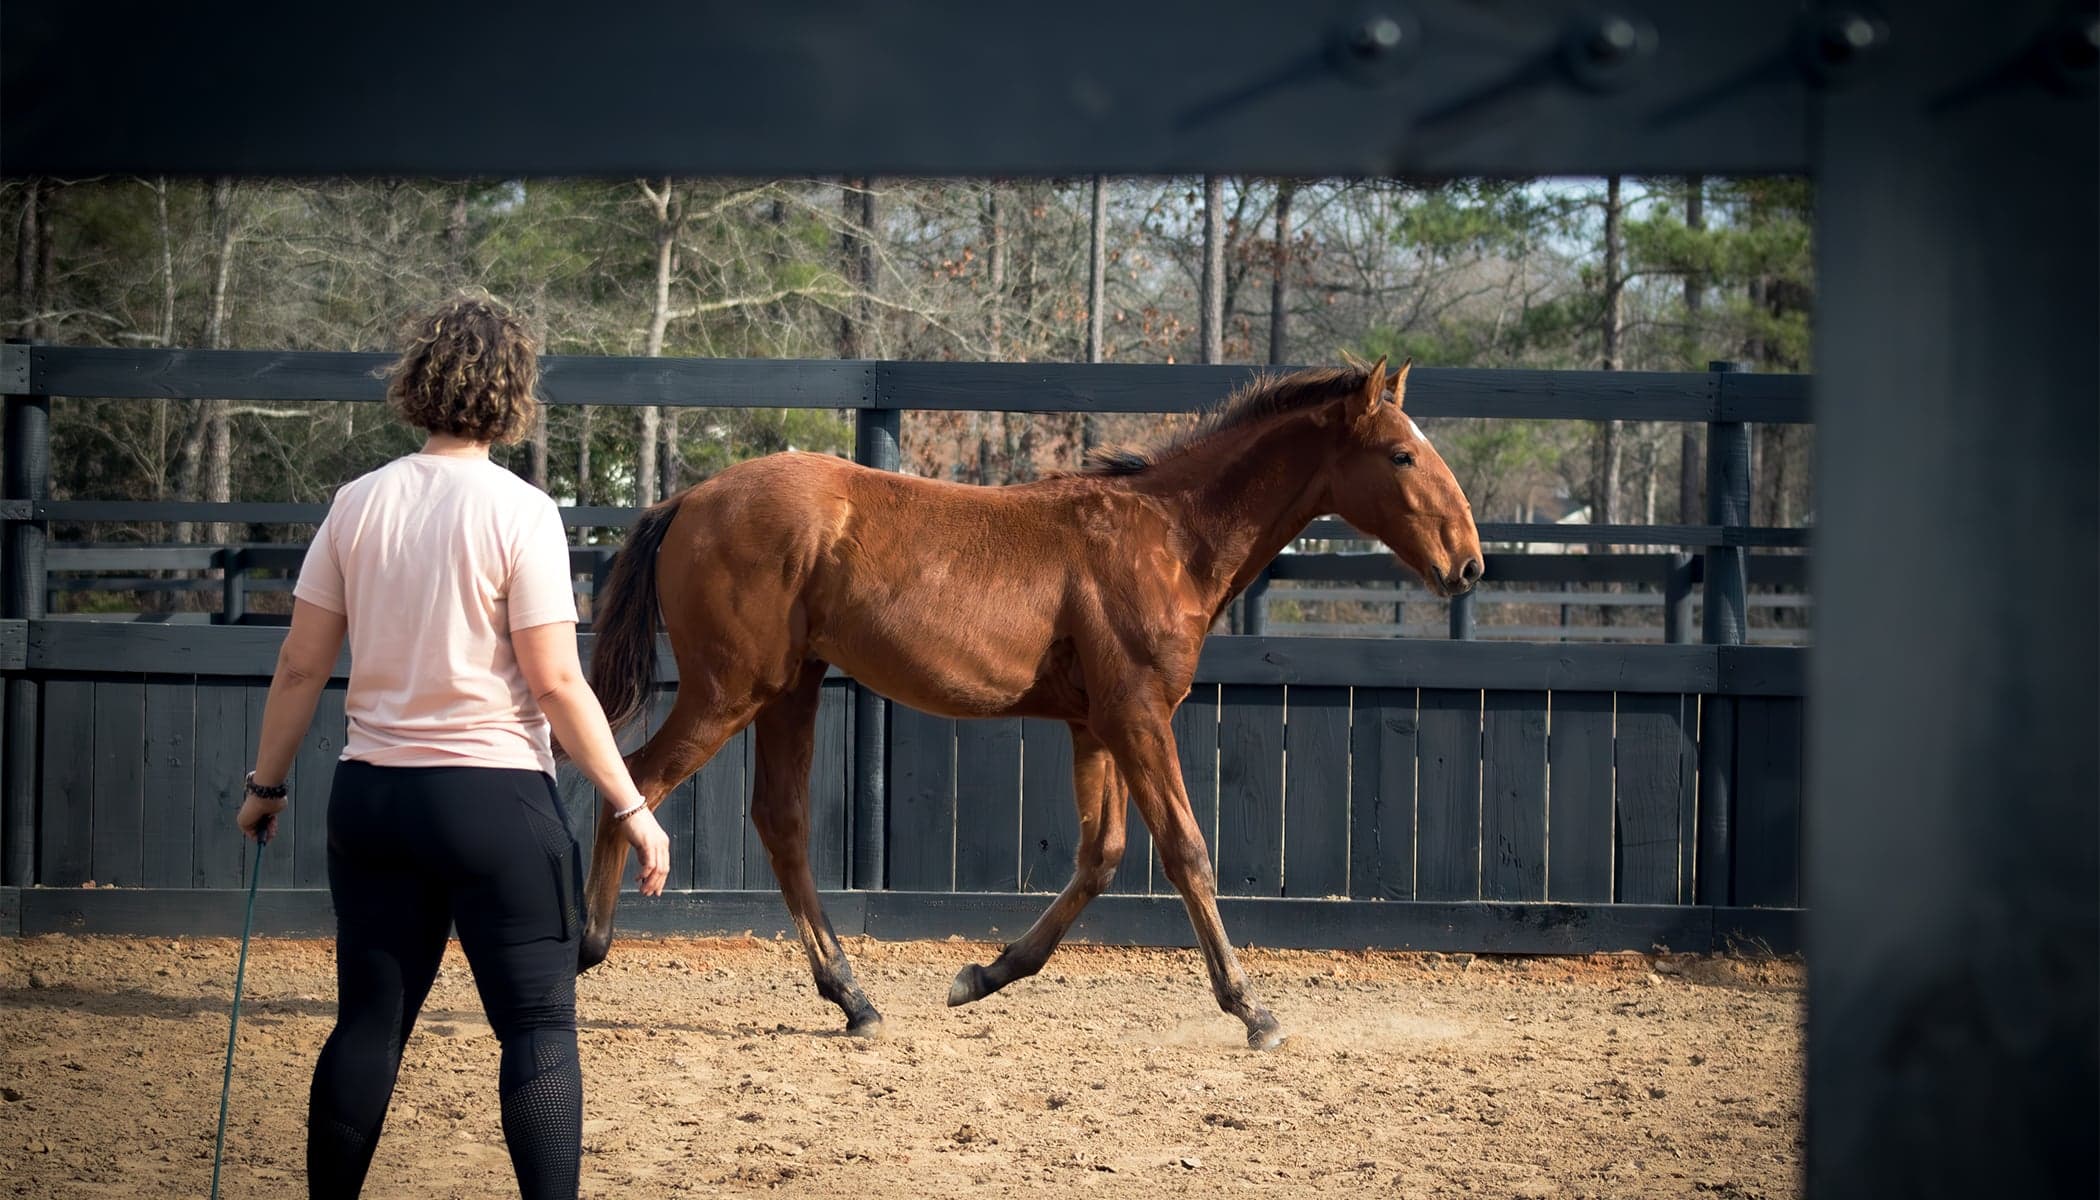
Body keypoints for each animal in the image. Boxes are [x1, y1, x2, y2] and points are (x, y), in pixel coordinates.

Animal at [578, 356, 1481, 1049]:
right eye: (1402, 455)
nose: (1468, 563)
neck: (1167, 539)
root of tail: (685, 502)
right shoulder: (1140, 716)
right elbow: (1186, 851)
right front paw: (1252, 1010)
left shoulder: (1095, 725)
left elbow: (1101, 856)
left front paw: (983, 974)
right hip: (731, 690)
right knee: (639, 778)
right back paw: (589, 945)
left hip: (789, 690)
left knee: (780, 819)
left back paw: (854, 1000)